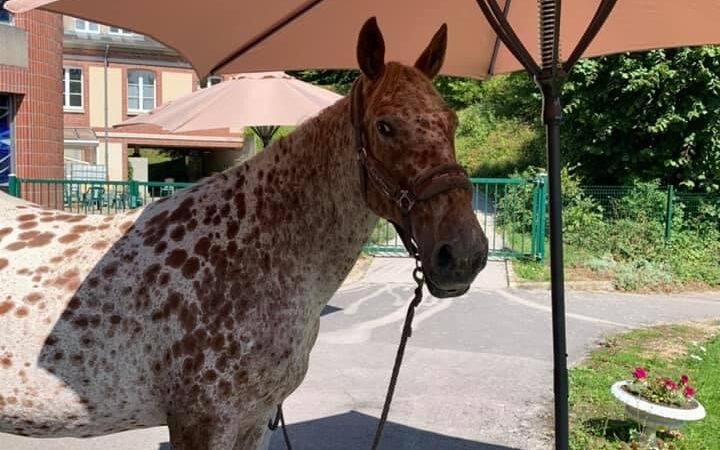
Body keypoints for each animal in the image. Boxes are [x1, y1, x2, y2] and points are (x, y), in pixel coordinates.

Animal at [0, 17, 490, 450]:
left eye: (451, 123)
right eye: (385, 126)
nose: (464, 254)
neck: (248, 250)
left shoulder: (255, 420)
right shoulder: (202, 423)